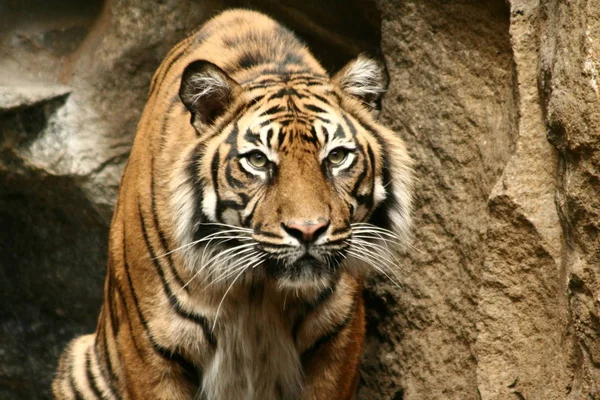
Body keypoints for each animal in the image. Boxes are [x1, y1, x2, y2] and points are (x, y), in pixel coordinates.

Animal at [52, 8, 412, 400]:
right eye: (257, 160)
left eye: (336, 157)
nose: (308, 231)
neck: (257, 292)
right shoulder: (151, 352)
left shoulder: (336, 343)